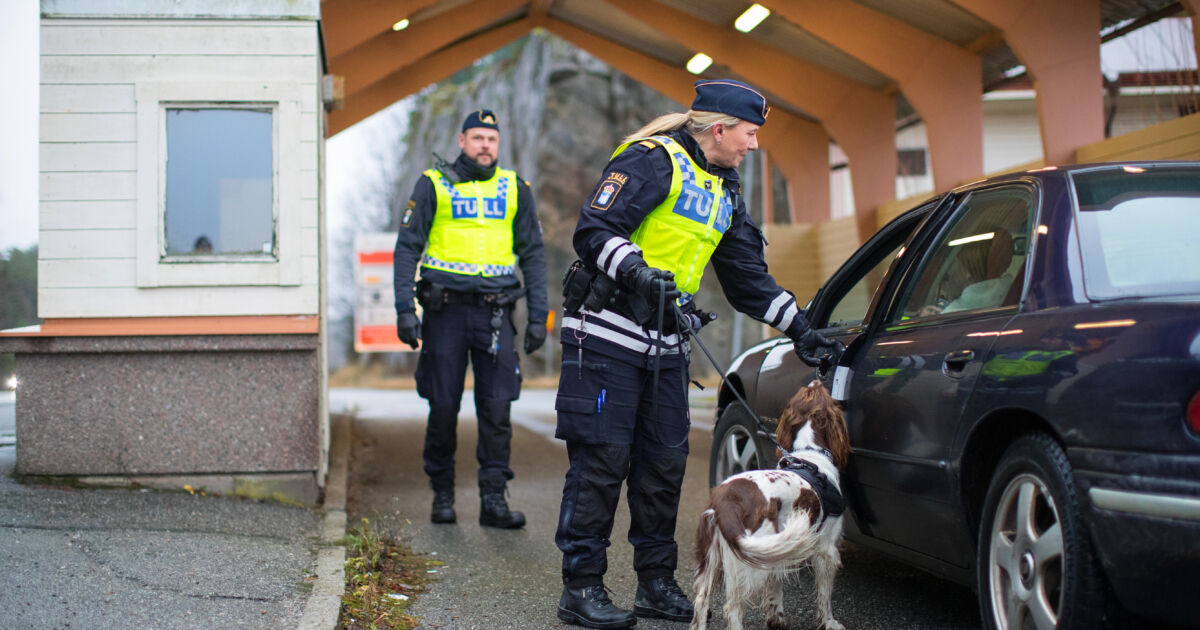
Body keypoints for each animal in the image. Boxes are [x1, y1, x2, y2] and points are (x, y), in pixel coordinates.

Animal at [691, 379, 849, 628]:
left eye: (807, 391)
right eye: (820, 391)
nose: (816, 379)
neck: (809, 454)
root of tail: (726, 500)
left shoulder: (779, 550)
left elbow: (775, 590)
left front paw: (776, 620)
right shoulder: (827, 550)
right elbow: (825, 595)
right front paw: (830, 623)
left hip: (716, 557)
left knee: (701, 602)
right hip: (748, 561)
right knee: (732, 608)